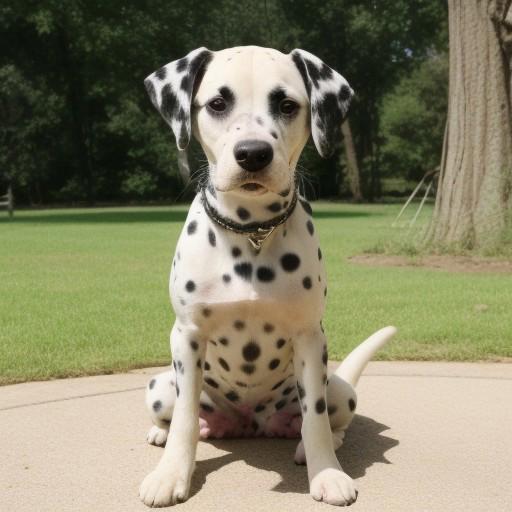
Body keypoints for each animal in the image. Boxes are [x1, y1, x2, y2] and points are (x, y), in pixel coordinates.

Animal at [139, 45, 396, 508]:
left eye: (287, 105)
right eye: (217, 103)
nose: (253, 153)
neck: (251, 234)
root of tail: (250, 423)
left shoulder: (310, 338)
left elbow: (315, 417)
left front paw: (326, 472)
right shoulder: (186, 336)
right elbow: (184, 418)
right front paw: (171, 474)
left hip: (340, 390)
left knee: (329, 418)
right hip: (158, 385)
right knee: (182, 415)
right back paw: (171, 431)